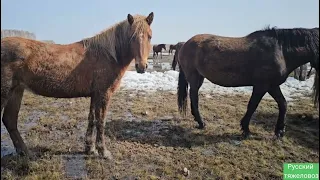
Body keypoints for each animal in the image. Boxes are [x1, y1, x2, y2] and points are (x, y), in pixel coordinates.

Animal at [0, 11, 155, 159]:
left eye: (149, 36)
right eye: (132, 37)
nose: (142, 66)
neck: (107, 55)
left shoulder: (95, 95)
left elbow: (92, 119)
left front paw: (90, 149)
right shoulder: (104, 94)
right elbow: (101, 121)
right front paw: (103, 152)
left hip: (16, 91)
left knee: (10, 120)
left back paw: (25, 152)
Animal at [176, 26, 318, 139]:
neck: (280, 51)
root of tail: (185, 44)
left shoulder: (272, 86)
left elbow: (283, 104)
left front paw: (279, 131)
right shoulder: (262, 86)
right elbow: (252, 105)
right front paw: (246, 130)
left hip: (199, 77)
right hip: (194, 77)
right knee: (194, 97)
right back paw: (201, 123)